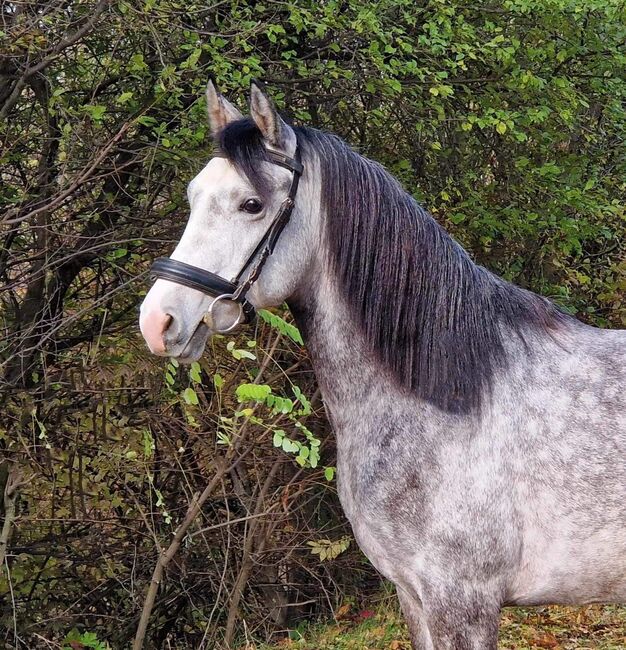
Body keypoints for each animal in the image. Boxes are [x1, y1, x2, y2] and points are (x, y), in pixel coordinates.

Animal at [141, 82, 624, 648]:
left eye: (251, 204)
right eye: (193, 195)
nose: (157, 320)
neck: (447, 399)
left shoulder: (462, 603)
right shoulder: (413, 597)